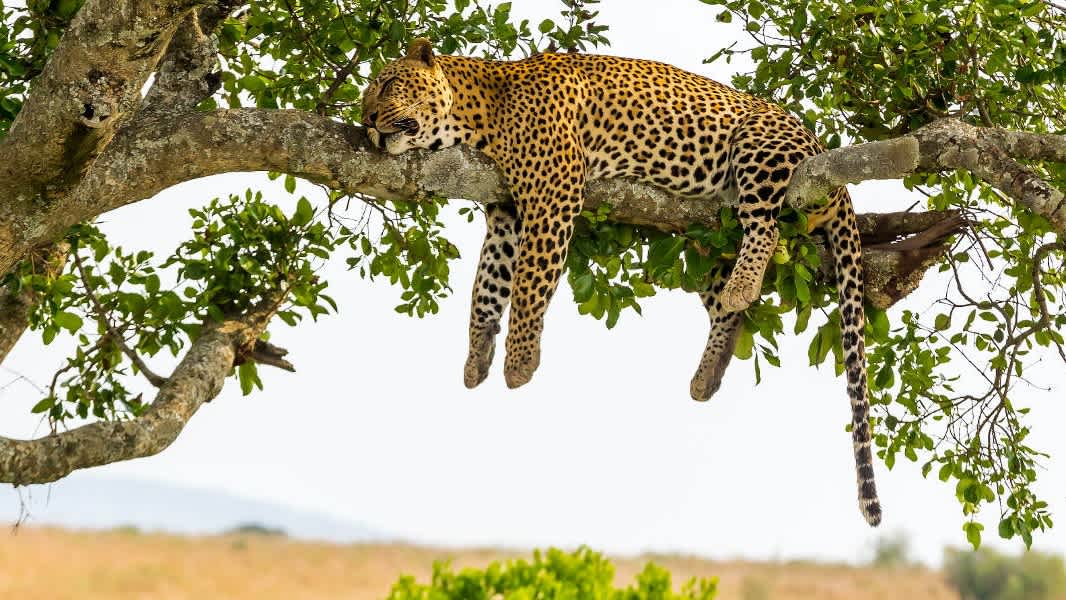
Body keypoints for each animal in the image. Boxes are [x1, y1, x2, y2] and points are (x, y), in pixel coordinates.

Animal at [364, 38, 882, 526]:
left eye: (388, 84)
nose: (365, 118)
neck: (479, 114)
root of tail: (822, 150)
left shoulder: (553, 195)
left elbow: (530, 282)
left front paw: (520, 362)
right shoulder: (506, 213)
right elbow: (486, 288)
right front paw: (476, 357)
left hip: (760, 148)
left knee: (766, 228)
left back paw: (742, 286)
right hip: (706, 239)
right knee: (724, 306)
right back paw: (708, 371)